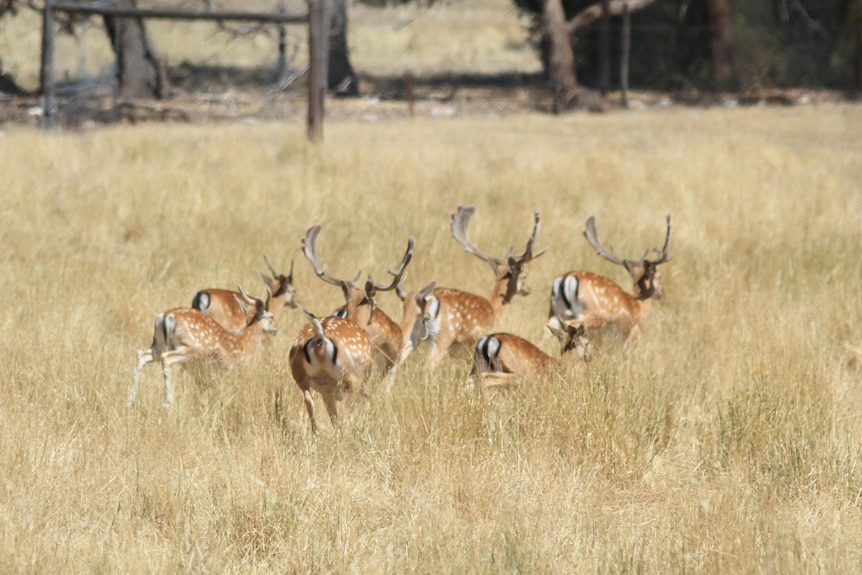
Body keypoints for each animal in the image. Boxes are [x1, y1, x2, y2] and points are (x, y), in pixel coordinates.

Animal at [130, 288, 276, 410]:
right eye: (271, 317)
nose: (275, 329)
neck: (243, 347)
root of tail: (166, 316)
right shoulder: (227, 372)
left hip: (158, 344)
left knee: (141, 355)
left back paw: (131, 400)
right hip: (191, 348)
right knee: (166, 358)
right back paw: (167, 402)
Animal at [290, 304, 374, 434]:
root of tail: (319, 337)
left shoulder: (327, 392)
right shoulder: (364, 380)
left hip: (300, 375)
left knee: (309, 401)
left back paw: (316, 433)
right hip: (351, 378)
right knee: (347, 409)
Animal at [392, 206, 548, 378]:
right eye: (524, 276)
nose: (528, 289)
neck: (495, 310)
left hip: (415, 332)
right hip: (442, 337)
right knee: (427, 367)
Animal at [548, 213, 676, 344]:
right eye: (659, 276)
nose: (661, 293)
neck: (639, 305)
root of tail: (566, 280)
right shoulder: (632, 336)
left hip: (554, 311)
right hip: (590, 314)